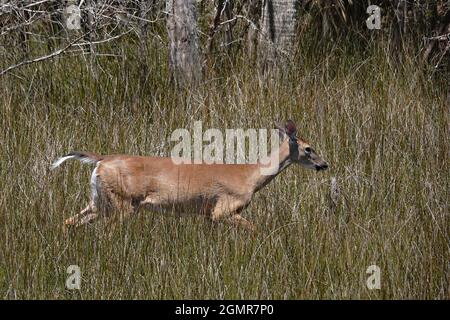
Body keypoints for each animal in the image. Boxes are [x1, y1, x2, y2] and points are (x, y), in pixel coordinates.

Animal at [51, 120, 326, 232]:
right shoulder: (223, 208)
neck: (250, 176)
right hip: (122, 203)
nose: (324, 164)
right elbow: (255, 229)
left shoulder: (208, 214)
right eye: (308, 148)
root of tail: (100, 160)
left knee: (68, 221)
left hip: (99, 200)